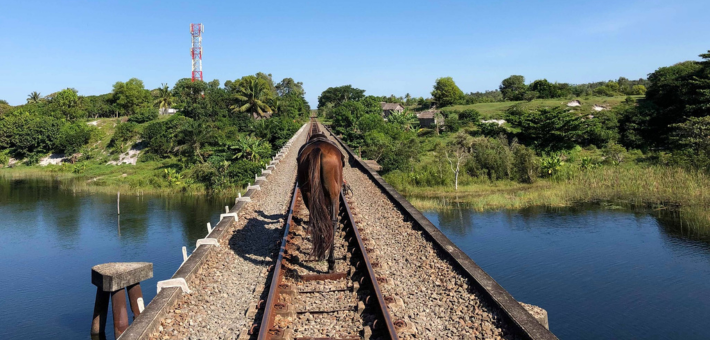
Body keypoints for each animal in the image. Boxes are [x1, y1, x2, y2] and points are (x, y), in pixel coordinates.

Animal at [298, 131, 344, 272]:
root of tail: (317, 149)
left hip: (307, 193)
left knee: (317, 220)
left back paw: (321, 254)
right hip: (334, 195)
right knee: (332, 222)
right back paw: (331, 262)